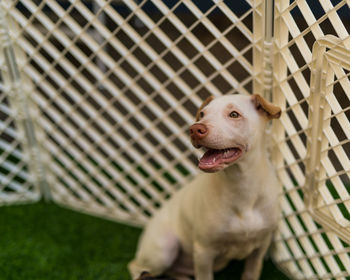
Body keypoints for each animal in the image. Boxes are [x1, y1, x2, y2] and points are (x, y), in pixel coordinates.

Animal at [129, 94, 282, 280]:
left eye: (234, 114)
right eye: (202, 114)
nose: (195, 129)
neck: (242, 187)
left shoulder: (261, 247)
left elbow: (252, 272)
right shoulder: (204, 251)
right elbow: (205, 276)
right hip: (164, 250)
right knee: (136, 266)